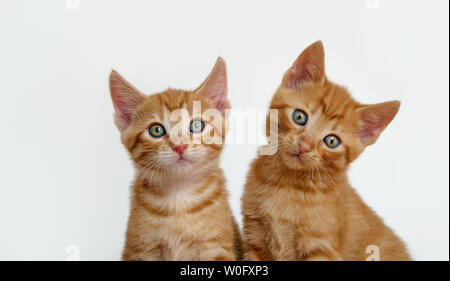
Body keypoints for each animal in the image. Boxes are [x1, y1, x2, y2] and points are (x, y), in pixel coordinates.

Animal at [110, 57, 241, 260]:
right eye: (156, 130)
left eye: (197, 125)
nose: (180, 146)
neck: (178, 199)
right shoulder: (140, 250)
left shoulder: (216, 248)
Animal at [243, 40, 412, 260]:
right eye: (299, 117)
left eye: (331, 141)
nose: (304, 146)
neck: (287, 183)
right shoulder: (255, 239)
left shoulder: (321, 247)